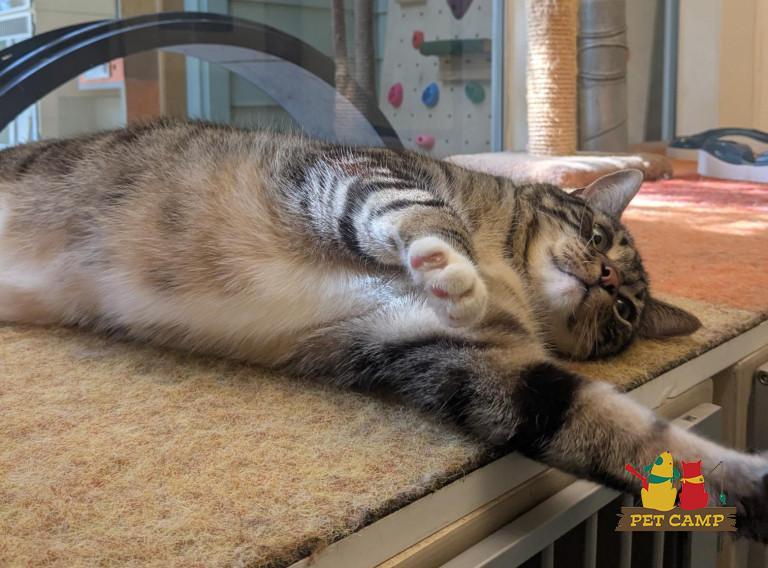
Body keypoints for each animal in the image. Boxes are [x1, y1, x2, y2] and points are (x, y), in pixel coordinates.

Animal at [0, 119, 766, 540]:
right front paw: (450, 267)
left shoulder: (460, 356)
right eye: (602, 236)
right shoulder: (350, 173)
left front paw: (750, 487)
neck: (511, 272)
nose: (607, 280)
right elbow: (411, 210)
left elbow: (620, 431)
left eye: (628, 311)